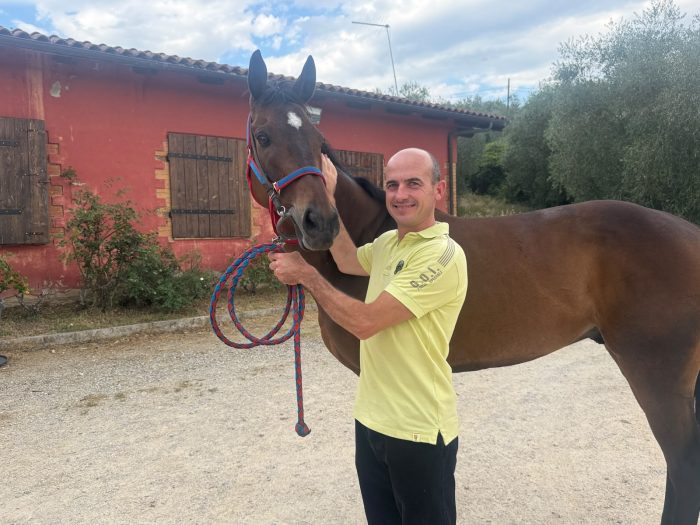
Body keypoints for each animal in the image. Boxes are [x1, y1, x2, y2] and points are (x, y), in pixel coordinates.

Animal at [244, 50, 700, 524]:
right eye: (263, 136)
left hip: (656, 373)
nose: (320, 223)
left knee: (683, 463)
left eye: (318, 139)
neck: (374, 232)